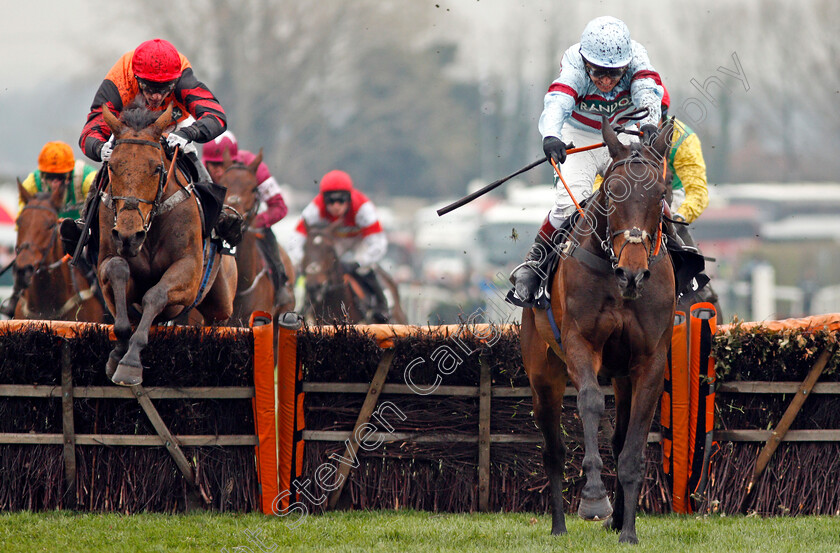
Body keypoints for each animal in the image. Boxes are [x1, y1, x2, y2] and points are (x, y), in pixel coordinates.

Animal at [97, 105, 238, 386]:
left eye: (156, 168)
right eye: (113, 167)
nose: (129, 236)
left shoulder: (190, 272)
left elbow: (156, 294)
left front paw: (130, 363)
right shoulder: (106, 258)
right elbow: (118, 270)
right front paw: (119, 352)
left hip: (220, 305)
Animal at [524, 116, 676, 544]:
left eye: (661, 193)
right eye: (611, 191)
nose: (632, 274)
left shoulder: (649, 362)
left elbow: (632, 446)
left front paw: (628, 530)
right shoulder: (581, 344)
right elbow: (590, 402)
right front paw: (594, 498)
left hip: (622, 376)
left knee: (619, 436)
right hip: (542, 373)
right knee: (553, 451)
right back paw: (559, 527)